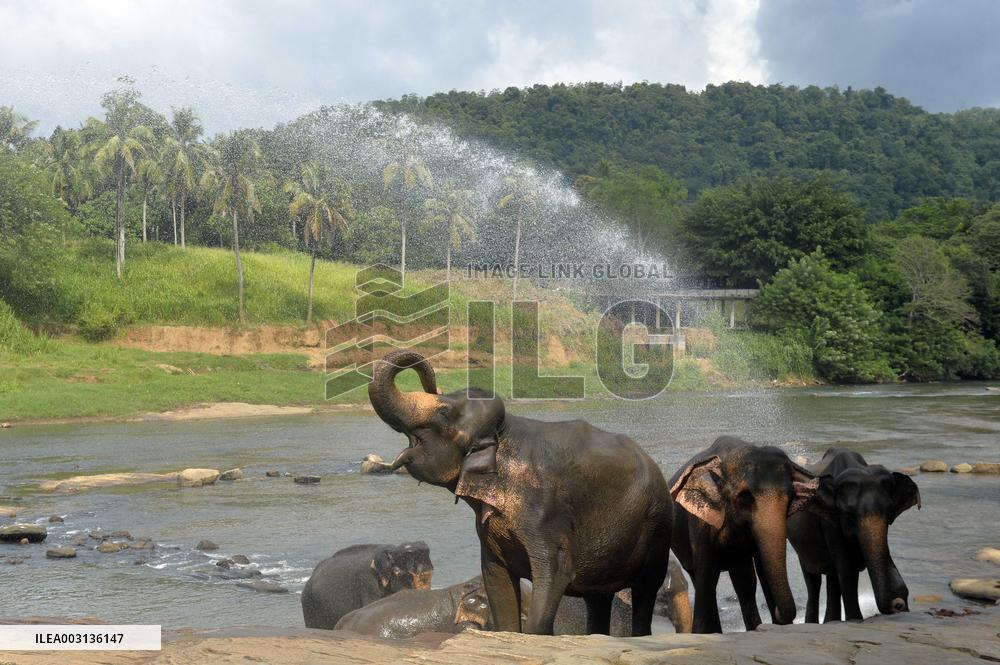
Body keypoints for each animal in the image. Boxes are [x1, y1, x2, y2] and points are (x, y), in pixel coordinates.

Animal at [368, 350, 674, 636]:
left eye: (444, 414)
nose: (432, 383)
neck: (505, 435)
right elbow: (496, 578)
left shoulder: (546, 515)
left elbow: (555, 573)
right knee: (597, 598)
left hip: (657, 528)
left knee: (646, 589)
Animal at [669, 436, 820, 633]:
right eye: (745, 496)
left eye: (790, 496)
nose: (777, 612)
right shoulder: (700, 524)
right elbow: (706, 577)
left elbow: (760, 571)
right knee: (704, 580)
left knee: (744, 583)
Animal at [787, 447, 921, 623]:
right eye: (849, 515)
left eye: (889, 511)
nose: (899, 604)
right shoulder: (829, 522)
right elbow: (845, 566)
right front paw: (855, 618)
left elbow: (852, 566)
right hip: (800, 545)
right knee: (813, 580)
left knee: (832, 578)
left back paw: (831, 621)